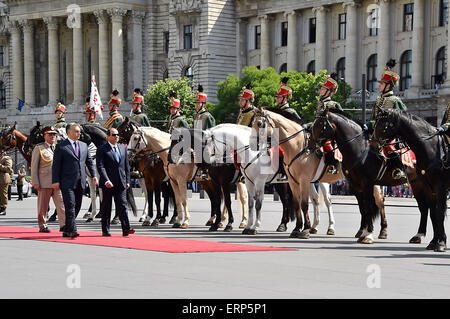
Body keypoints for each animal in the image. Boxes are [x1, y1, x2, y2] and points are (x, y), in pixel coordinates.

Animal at [312, 107, 428, 245]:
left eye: (320, 124)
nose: (313, 148)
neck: (360, 149)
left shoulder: (367, 183)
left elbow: (368, 208)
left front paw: (368, 234)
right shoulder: (356, 185)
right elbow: (363, 208)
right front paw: (363, 232)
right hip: (416, 182)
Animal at [374, 109, 448, 254]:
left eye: (383, 125)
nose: (373, 144)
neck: (432, 150)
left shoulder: (440, 186)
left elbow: (440, 212)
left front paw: (441, 243)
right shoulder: (427, 186)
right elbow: (433, 213)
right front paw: (433, 242)